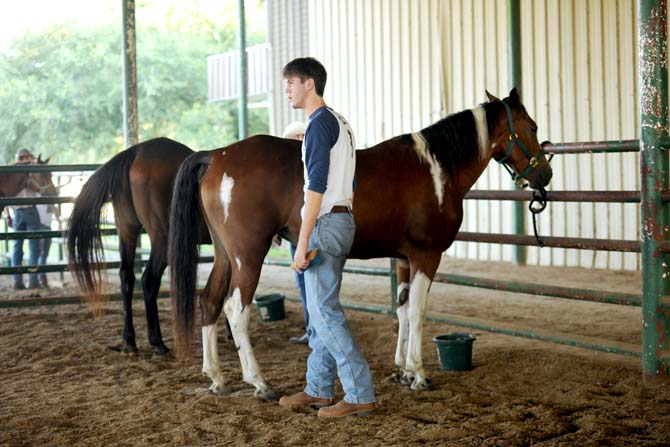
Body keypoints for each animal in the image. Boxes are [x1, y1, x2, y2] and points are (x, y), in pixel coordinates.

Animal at [67, 138, 210, 356]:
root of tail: (135, 152)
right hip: (162, 239)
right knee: (149, 280)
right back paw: (157, 342)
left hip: (127, 230)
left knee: (126, 277)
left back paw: (129, 342)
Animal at [167, 88, 552, 400]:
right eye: (533, 127)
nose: (545, 174)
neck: (436, 168)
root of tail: (217, 155)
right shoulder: (426, 256)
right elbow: (418, 311)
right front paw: (419, 375)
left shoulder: (403, 259)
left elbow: (402, 309)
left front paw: (402, 370)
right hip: (248, 255)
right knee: (236, 309)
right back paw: (258, 382)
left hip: (224, 255)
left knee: (210, 301)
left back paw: (217, 378)